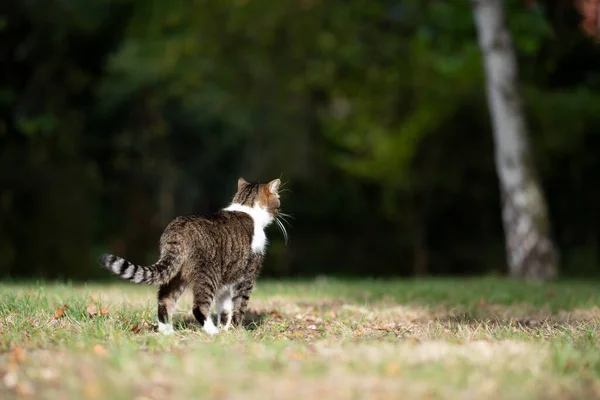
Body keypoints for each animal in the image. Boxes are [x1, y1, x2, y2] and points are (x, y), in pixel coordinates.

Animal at [98, 177, 286, 336]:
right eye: (278, 200)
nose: (280, 210)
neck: (247, 207)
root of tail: (177, 233)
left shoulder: (227, 282)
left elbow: (225, 310)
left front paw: (226, 330)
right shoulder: (246, 278)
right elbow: (239, 307)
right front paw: (236, 331)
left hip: (176, 274)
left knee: (164, 300)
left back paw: (167, 332)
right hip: (207, 276)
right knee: (198, 307)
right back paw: (212, 332)